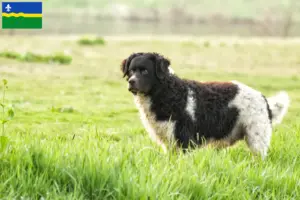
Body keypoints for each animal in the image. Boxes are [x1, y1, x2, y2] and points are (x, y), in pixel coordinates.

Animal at [120, 52, 290, 159]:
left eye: (145, 71)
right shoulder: (169, 144)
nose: (131, 82)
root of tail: (264, 99)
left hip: (257, 140)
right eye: (131, 71)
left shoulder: (185, 141)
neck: (167, 92)